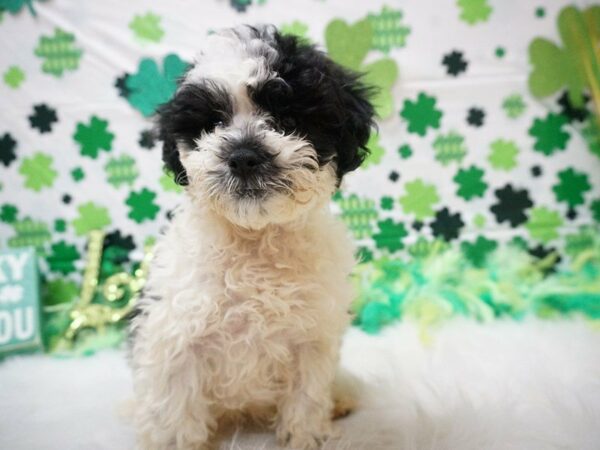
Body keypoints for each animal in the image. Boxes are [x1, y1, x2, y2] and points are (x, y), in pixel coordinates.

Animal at [130, 25, 376, 450]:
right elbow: (175, 412)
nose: (244, 156)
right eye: (213, 123)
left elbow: (308, 395)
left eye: (287, 117)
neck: (255, 241)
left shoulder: (312, 339)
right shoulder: (174, 336)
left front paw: (306, 437)